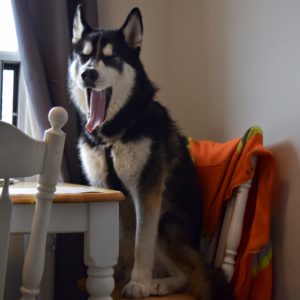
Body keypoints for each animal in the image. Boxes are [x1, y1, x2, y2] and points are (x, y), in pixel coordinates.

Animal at [68, 5, 232, 300]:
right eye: (84, 56)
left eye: (111, 57)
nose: (88, 74)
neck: (113, 134)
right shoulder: (106, 192)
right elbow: (117, 241)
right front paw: (110, 277)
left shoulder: (148, 190)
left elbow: (142, 243)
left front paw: (139, 282)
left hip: (166, 225)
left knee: (190, 274)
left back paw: (158, 283)